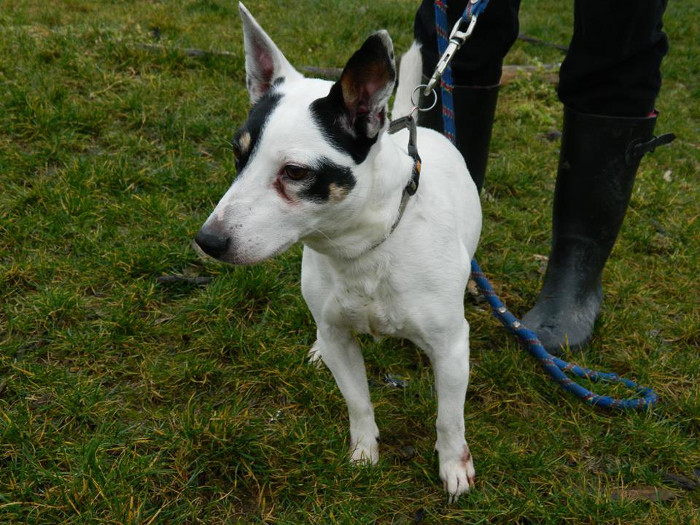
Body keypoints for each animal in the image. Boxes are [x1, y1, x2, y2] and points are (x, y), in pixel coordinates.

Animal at [194, 3, 482, 500]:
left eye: (294, 172)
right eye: (237, 154)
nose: (207, 240)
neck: (360, 250)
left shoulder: (450, 348)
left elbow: (449, 419)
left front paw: (453, 466)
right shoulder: (340, 339)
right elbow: (358, 403)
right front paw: (364, 455)